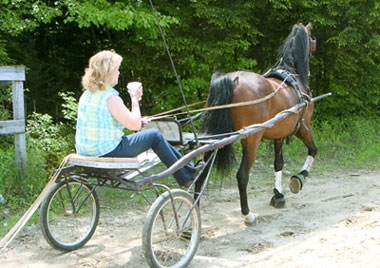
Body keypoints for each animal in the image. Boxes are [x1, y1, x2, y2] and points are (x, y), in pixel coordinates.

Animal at [199, 22, 318, 224]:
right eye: (313, 39)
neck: (293, 75)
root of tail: (233, 79)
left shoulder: (279, 134)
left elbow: (278, 163)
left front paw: (278, 195)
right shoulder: (303, 127)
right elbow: (313, 150)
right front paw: (299, 179)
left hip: (215, 138)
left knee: (201, 171)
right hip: (251, 140)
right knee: (242, 176)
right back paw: (247, 214)